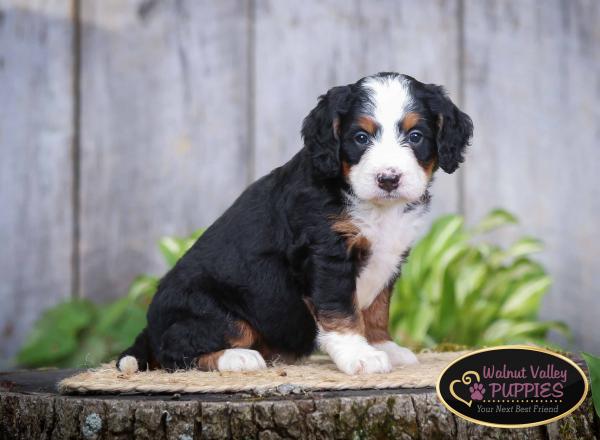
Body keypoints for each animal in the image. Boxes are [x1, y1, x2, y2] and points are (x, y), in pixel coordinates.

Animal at [117, 71, 474, 374]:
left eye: (415, 136)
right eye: (360, 137)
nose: (388, 179)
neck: (371, 204)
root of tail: (150, 328)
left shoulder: (389, 257)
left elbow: (377, 307)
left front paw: (383, 345)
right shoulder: (326, 254)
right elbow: (341, 310)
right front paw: (360, 355)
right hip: (209, 310)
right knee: (174, 352)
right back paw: (238, 358)